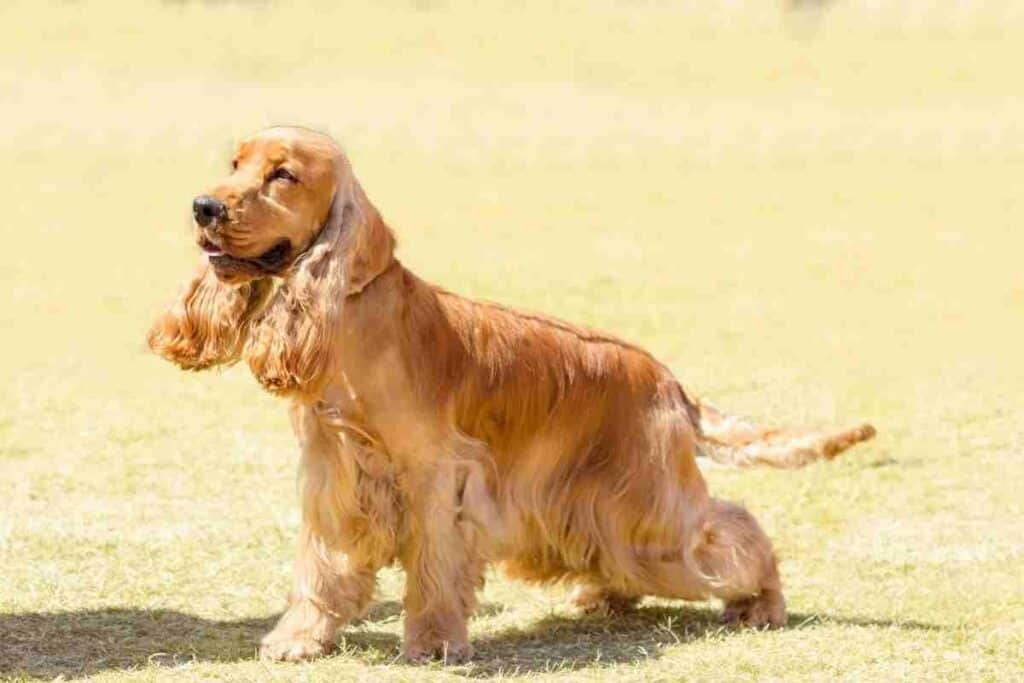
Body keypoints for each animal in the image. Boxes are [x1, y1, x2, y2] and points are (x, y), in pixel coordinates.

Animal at [149, 126, 872, 663]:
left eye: (283, 175)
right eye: (235, 164)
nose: (204, 207)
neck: (353, 316)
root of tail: (669, 380)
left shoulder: (435, 474)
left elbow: (434, 568)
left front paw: (434, 643)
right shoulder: (334, 472)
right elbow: (322, 567)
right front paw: (299, 639)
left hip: (652, 503)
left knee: (735, 531)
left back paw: (762, 603)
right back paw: (603, 596)